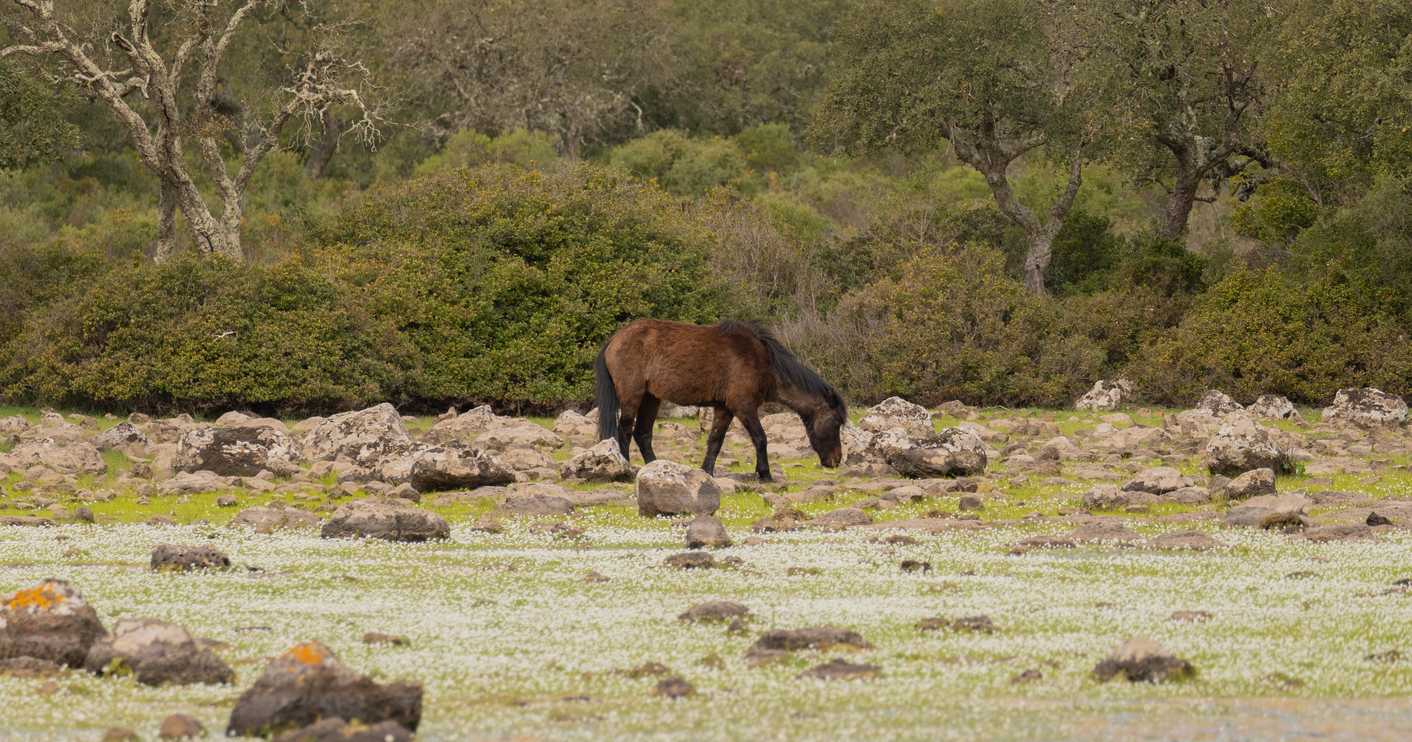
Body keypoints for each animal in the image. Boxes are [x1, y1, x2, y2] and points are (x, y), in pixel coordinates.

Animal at [593, 318, 847, 482]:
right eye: (836, 422)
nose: (836, 460)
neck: (762, 360)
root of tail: (614, 339)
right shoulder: (743, 406)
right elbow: (761, 438)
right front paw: (765, 474)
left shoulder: (725, 409)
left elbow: (716, 441)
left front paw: (706, 472)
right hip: (632, 396)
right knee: (625, 433)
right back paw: (628, 469)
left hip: (651, 398)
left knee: (642, 434)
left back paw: (655, 468)